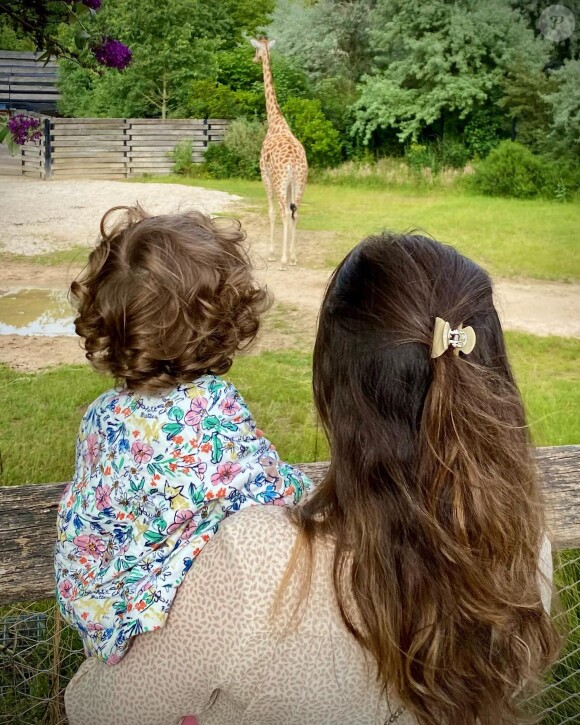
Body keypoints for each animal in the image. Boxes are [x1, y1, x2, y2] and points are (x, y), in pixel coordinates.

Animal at [251, 37, 310, 268]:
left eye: (256, 51)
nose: (253, 60)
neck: (275, 122)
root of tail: (292, 163)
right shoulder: (290, 183)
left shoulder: (265, 175)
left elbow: (271, 212)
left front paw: (272, 254)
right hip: (300, 181)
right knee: (296, 212)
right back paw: (292, 257)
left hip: (279, 181)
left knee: (285, 211)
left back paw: (283, 260)